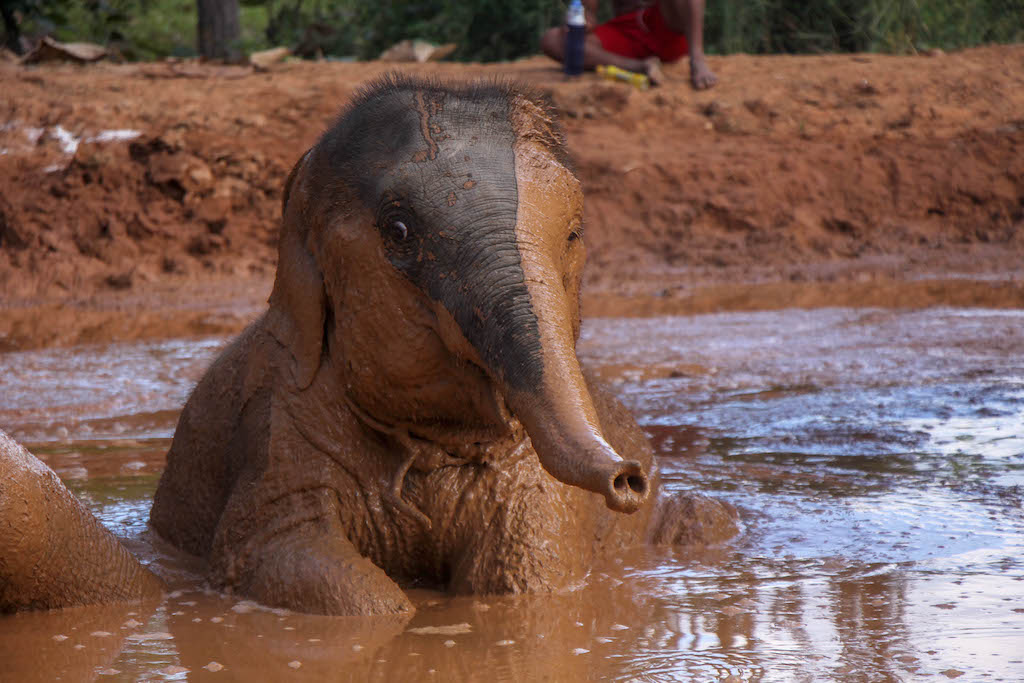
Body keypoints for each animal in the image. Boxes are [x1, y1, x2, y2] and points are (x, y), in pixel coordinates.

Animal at [0, 75, 738, 616]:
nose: (626, 478)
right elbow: (287, 561)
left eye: (576, 233)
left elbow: (526, 578)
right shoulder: (275, 427)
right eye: (400, 231)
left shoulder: (537, 486)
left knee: (710, 518)